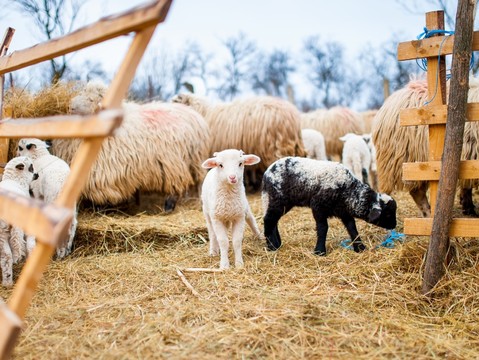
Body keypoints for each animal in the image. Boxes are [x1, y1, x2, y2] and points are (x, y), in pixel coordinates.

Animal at [0, 156, 37, 286]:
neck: (16, 181)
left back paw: (7, 282)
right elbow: (30, 244)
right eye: (31, 167)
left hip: (1, 233)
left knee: (6, 256)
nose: (37, 175)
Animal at [50, 81, 212, 211]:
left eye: (91, 99)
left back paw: (171, 206)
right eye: (81, 93)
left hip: (182, 162)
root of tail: (193, 113)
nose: (70, 107)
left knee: (187, 184)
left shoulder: (106, 170)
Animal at [262, 156, 398, 255]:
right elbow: (323, 228)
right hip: (278, 199)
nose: (394, 225)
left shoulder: (344, 211)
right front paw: (320, 251)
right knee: (268, 219)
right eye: (388, 214)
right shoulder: (318, 206)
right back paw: (271, 247)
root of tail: (267, 172)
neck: (348, 191)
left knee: (273, 220)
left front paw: (360, 247)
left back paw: (276, 244)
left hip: (283, 202)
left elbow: (352, 228)